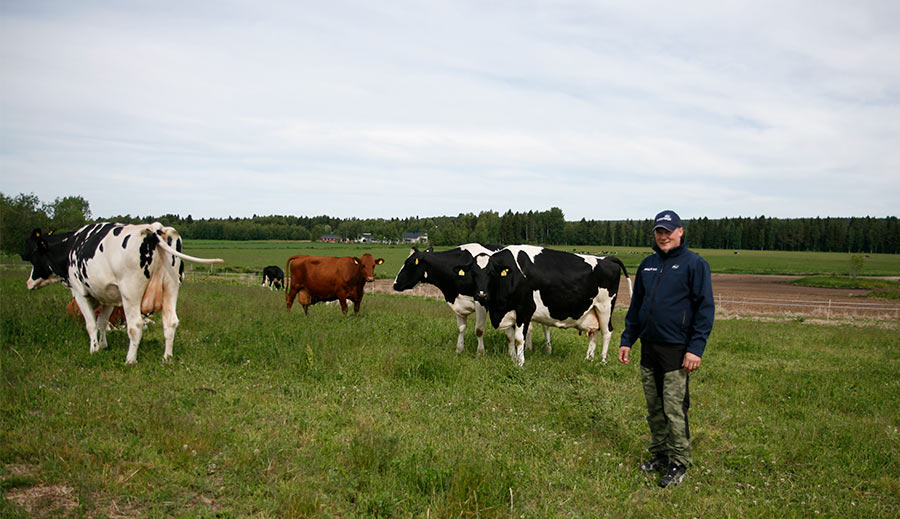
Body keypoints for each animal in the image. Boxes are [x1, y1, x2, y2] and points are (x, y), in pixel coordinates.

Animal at [22, 221, 223, 364]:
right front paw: (103, 346)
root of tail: (154, 229)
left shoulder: (80, 292)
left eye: (33, 254)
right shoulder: (110, 297)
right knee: (171, 322)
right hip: (171, 287)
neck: (71, 246)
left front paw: (94, 350)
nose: (28, 282)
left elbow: (91, 324)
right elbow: (102, 322)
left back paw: (130, 360)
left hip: (131, 292)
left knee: (135, 326)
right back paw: (167, 357)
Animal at [392, 245, 548, 358]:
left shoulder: (481, 302)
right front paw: (459, 350)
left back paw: (547, 349)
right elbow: (460, 328)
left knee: (545, 326)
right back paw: (529, 348)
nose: (394, 284)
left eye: (409, 263)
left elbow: (479, 330)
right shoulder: (458, 303)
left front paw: (480, 353)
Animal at [472, 246, 632, 368]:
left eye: (491, 273)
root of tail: (607, 259)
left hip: (605, 307)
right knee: (594, 333)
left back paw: (602, 361)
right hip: (592, 310)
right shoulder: (509, 312)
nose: (481, 295)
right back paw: (588, 359)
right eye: (474, 273)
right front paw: (512, 358)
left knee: (607, 332)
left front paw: (519, 364)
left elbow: (519, 338)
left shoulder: (525, 309)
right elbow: (510, 337)